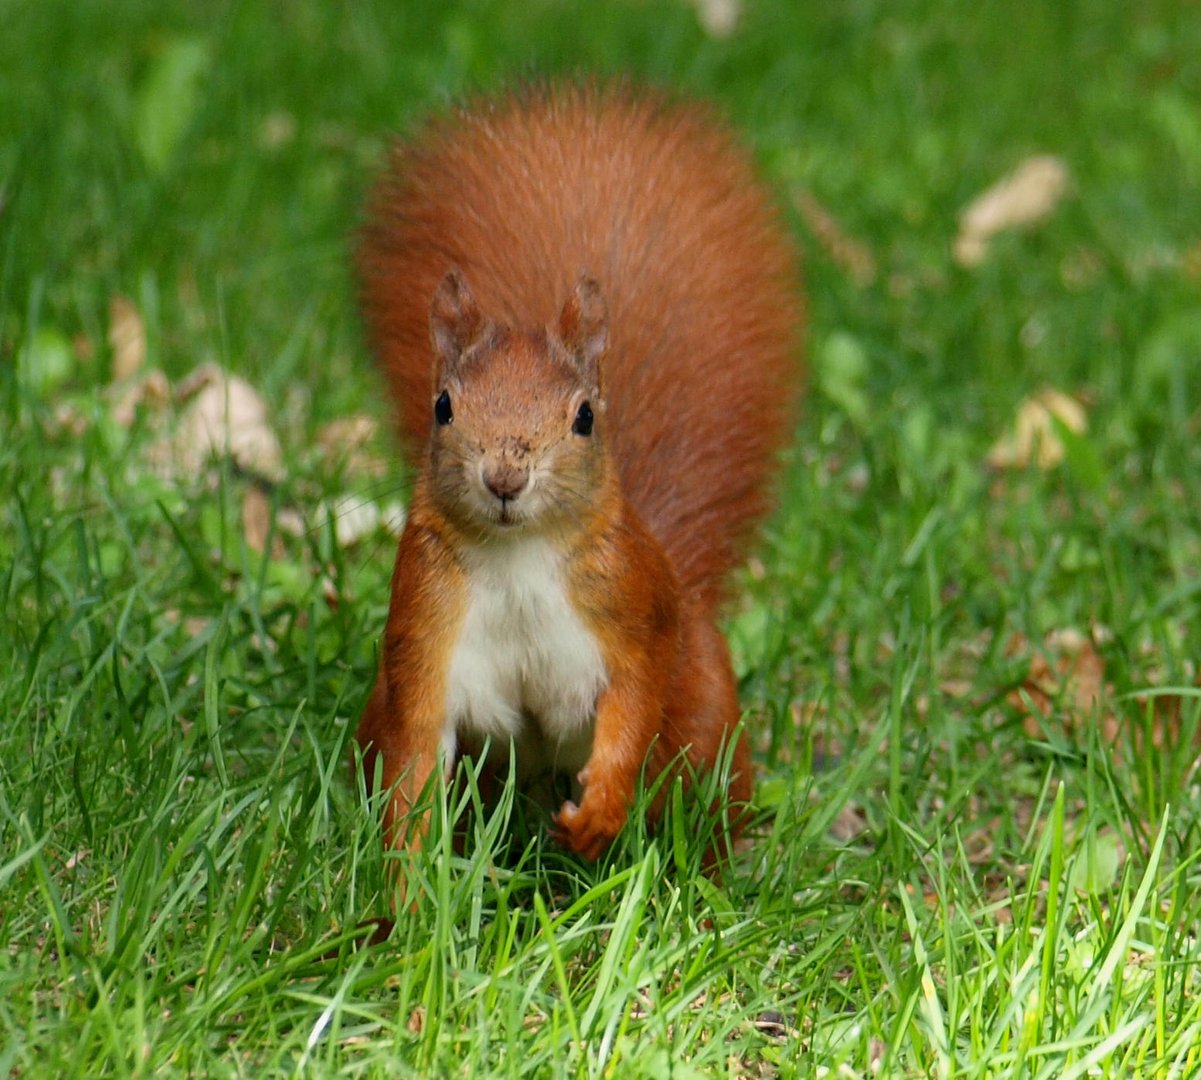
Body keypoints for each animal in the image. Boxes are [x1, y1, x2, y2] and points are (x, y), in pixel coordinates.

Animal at [355, 82, 807, 860]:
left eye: (584, 417)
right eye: (443, 406)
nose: (505, 478)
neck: (517, 559)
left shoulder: (631, 609)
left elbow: (633, 704)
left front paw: (600, 812)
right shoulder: (426, 628)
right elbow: (411, 770)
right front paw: (406, 889)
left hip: (705, 726)